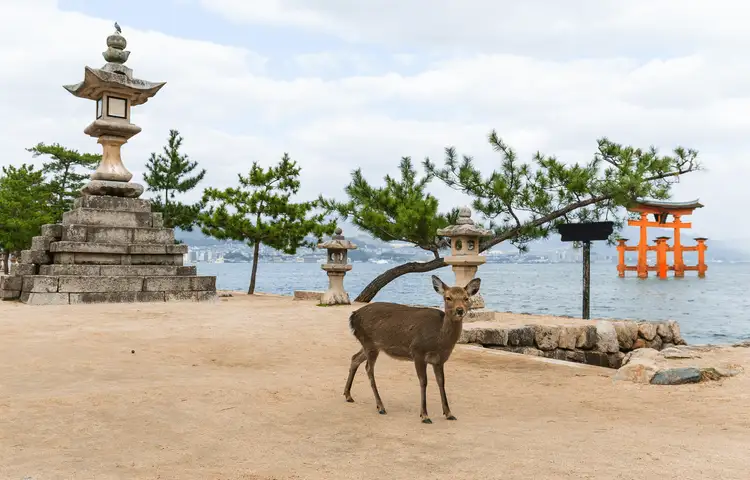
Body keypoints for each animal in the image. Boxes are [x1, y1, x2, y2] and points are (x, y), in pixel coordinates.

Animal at [343, 274, 481, 424]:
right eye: (448, 297)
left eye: (466, 298)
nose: (460, 310)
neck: (439, 340)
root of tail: (353, 316)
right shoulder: (417, 351)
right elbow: (423, 381)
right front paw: (425, 415)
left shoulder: (439, 360)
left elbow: (441, 382)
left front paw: (449, 413)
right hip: (369, 343)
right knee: (369, 368)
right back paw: (380, 406)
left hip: (371, 344)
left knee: (355, 358)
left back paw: (348, 395)